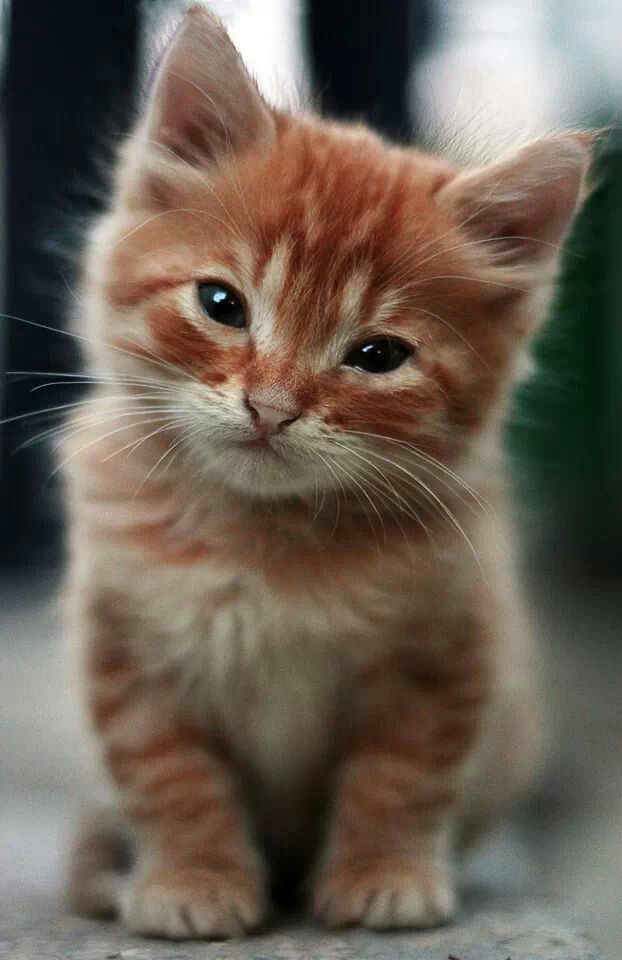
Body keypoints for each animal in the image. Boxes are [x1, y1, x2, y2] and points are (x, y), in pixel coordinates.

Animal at [64, 3, 596, 940]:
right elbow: (171, 778)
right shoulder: (129, 651)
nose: (271, 407)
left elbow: (400, 779)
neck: (268, 537)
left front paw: (384, 875)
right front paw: (193, 880)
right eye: (221, 304)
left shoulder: (444, 651)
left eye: (377, 356)